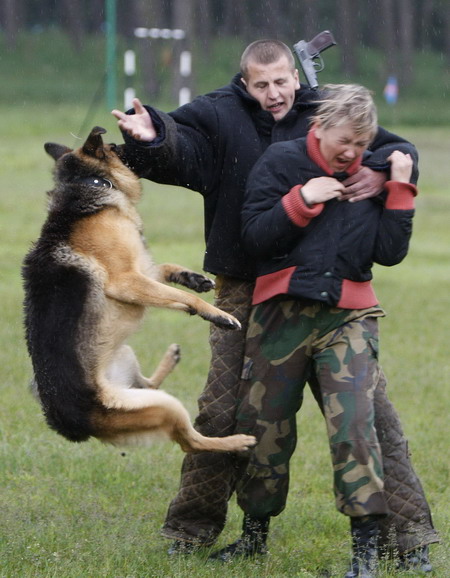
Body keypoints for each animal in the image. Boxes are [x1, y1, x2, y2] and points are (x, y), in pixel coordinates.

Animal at [23, 127, 256, 454]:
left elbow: (166, 270)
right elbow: (185, 298)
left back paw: (172, 357)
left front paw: (194, 278)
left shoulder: (141, 272)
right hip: (162, 406)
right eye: (113, 146)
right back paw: (236, 442)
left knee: (150, 387)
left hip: (128, 359)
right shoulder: (126, 281)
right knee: (190, 442)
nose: (132, 143)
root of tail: (73, 426)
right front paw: (217, 314)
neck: (88, 183)